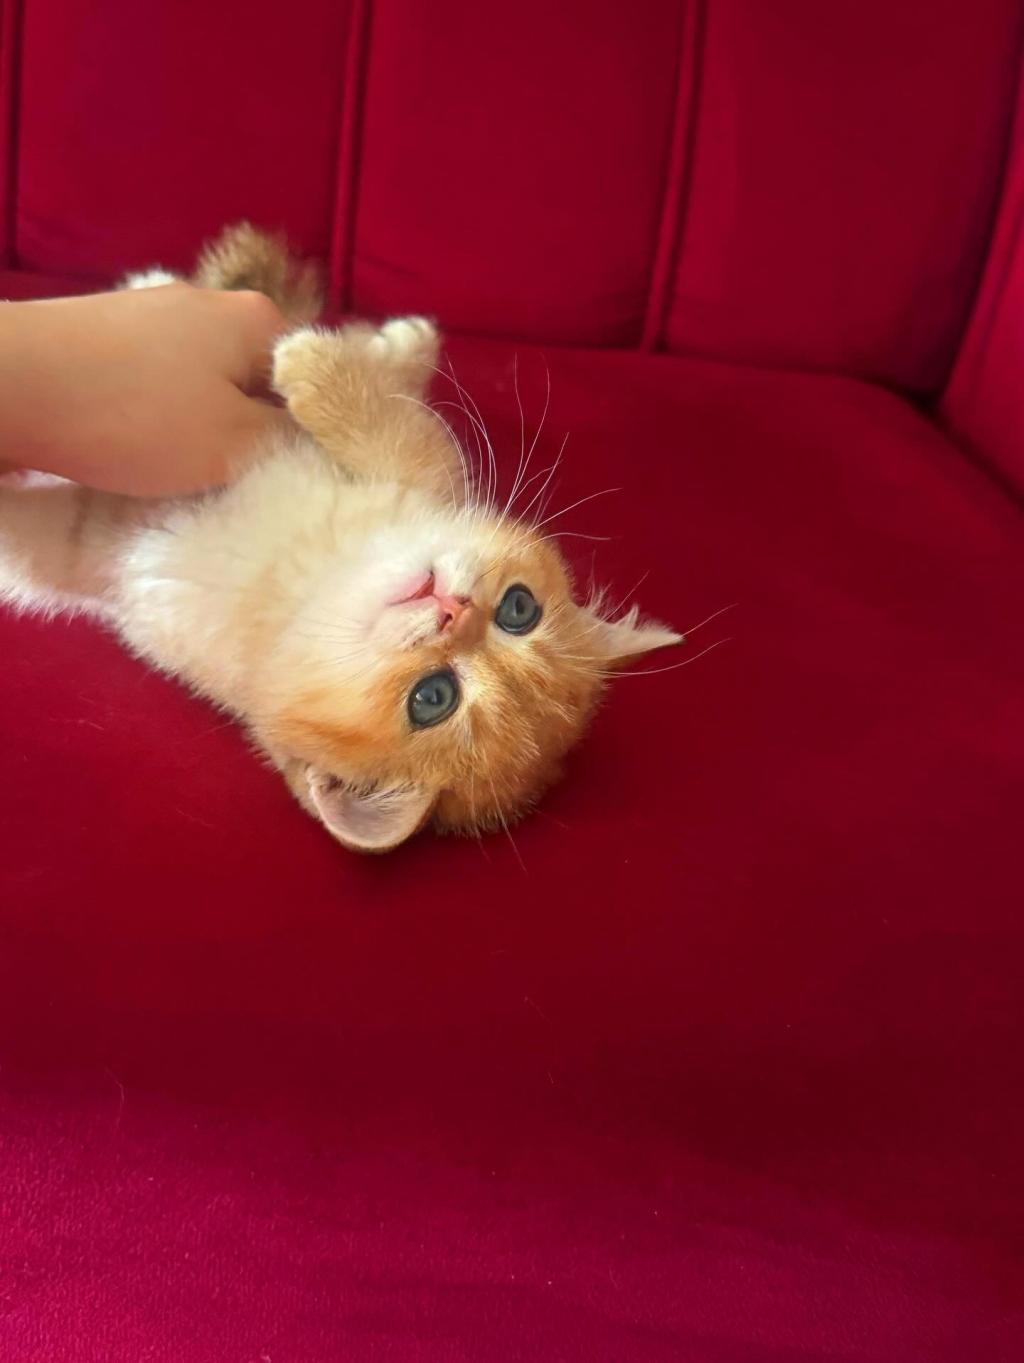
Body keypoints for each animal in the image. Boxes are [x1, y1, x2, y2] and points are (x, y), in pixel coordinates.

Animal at [0, 224, 681, 852]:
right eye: (521, 609)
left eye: (433, 698)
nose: (453, 610)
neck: (321, 567)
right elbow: (407, 408)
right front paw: (395, 344)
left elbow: (403, 430)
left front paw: (311, 364)